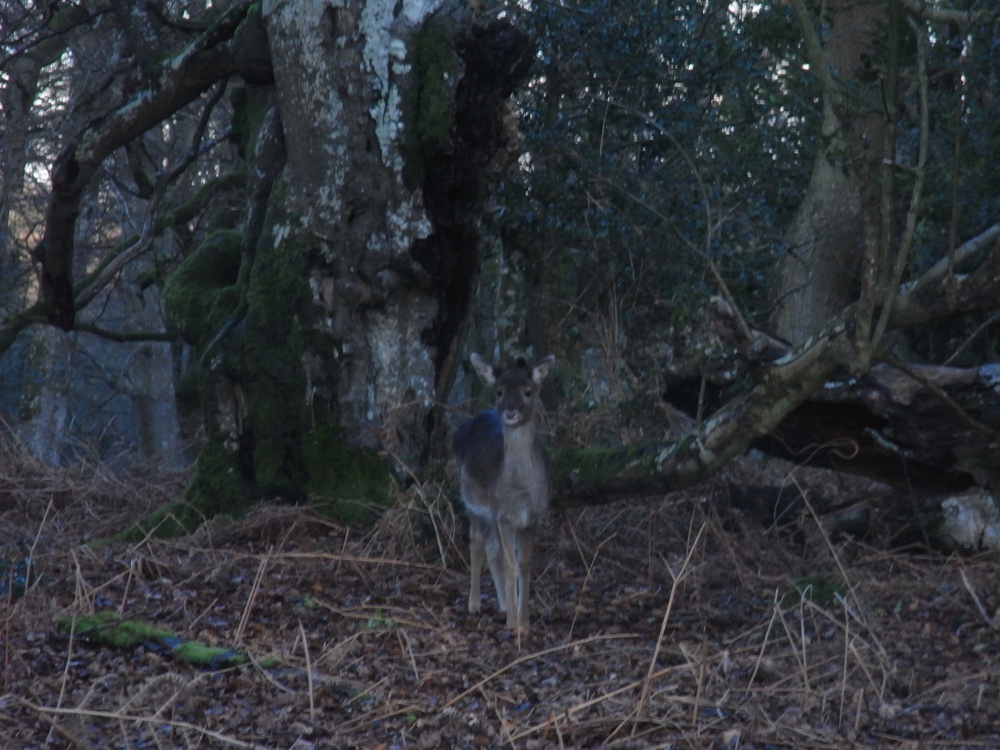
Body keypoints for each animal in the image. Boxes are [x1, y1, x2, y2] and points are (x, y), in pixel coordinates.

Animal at [454, 356, 556, 632]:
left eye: (528, 391)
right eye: (499, 391)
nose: (510, 412)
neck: (520, 495)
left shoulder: (532, 518)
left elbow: (523, 566)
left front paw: (524, 621)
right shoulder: (503, 516)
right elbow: (510, 566)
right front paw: (513, 623)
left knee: (492, 550)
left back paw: (500, 603)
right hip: (472, 504)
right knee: (477, 543)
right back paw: (474, 603)